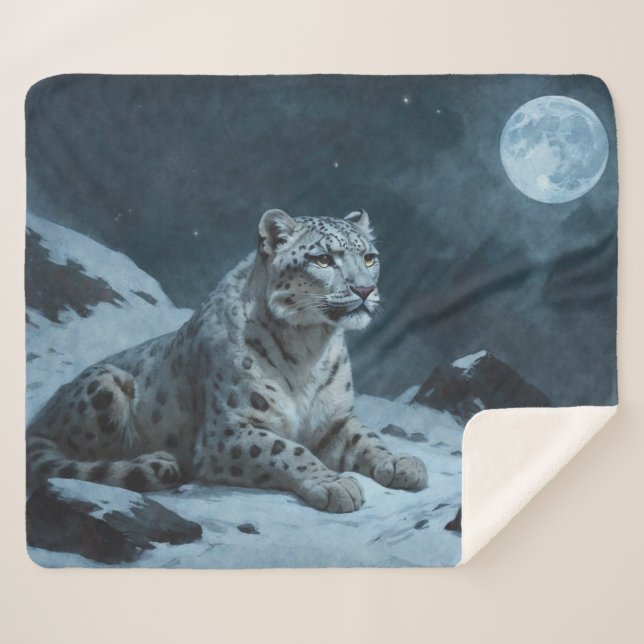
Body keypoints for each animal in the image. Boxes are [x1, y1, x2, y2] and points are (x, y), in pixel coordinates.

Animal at [26, 209, 428, 513]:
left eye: (369, 257)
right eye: (324, 259)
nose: (365, 289)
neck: (310, 347)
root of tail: (39, 421)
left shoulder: (334, 420)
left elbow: (367, 437)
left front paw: (400, 463)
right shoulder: (228, 430)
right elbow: (287, 449)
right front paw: (334, 485)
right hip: (105, 383)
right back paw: (152, 463)